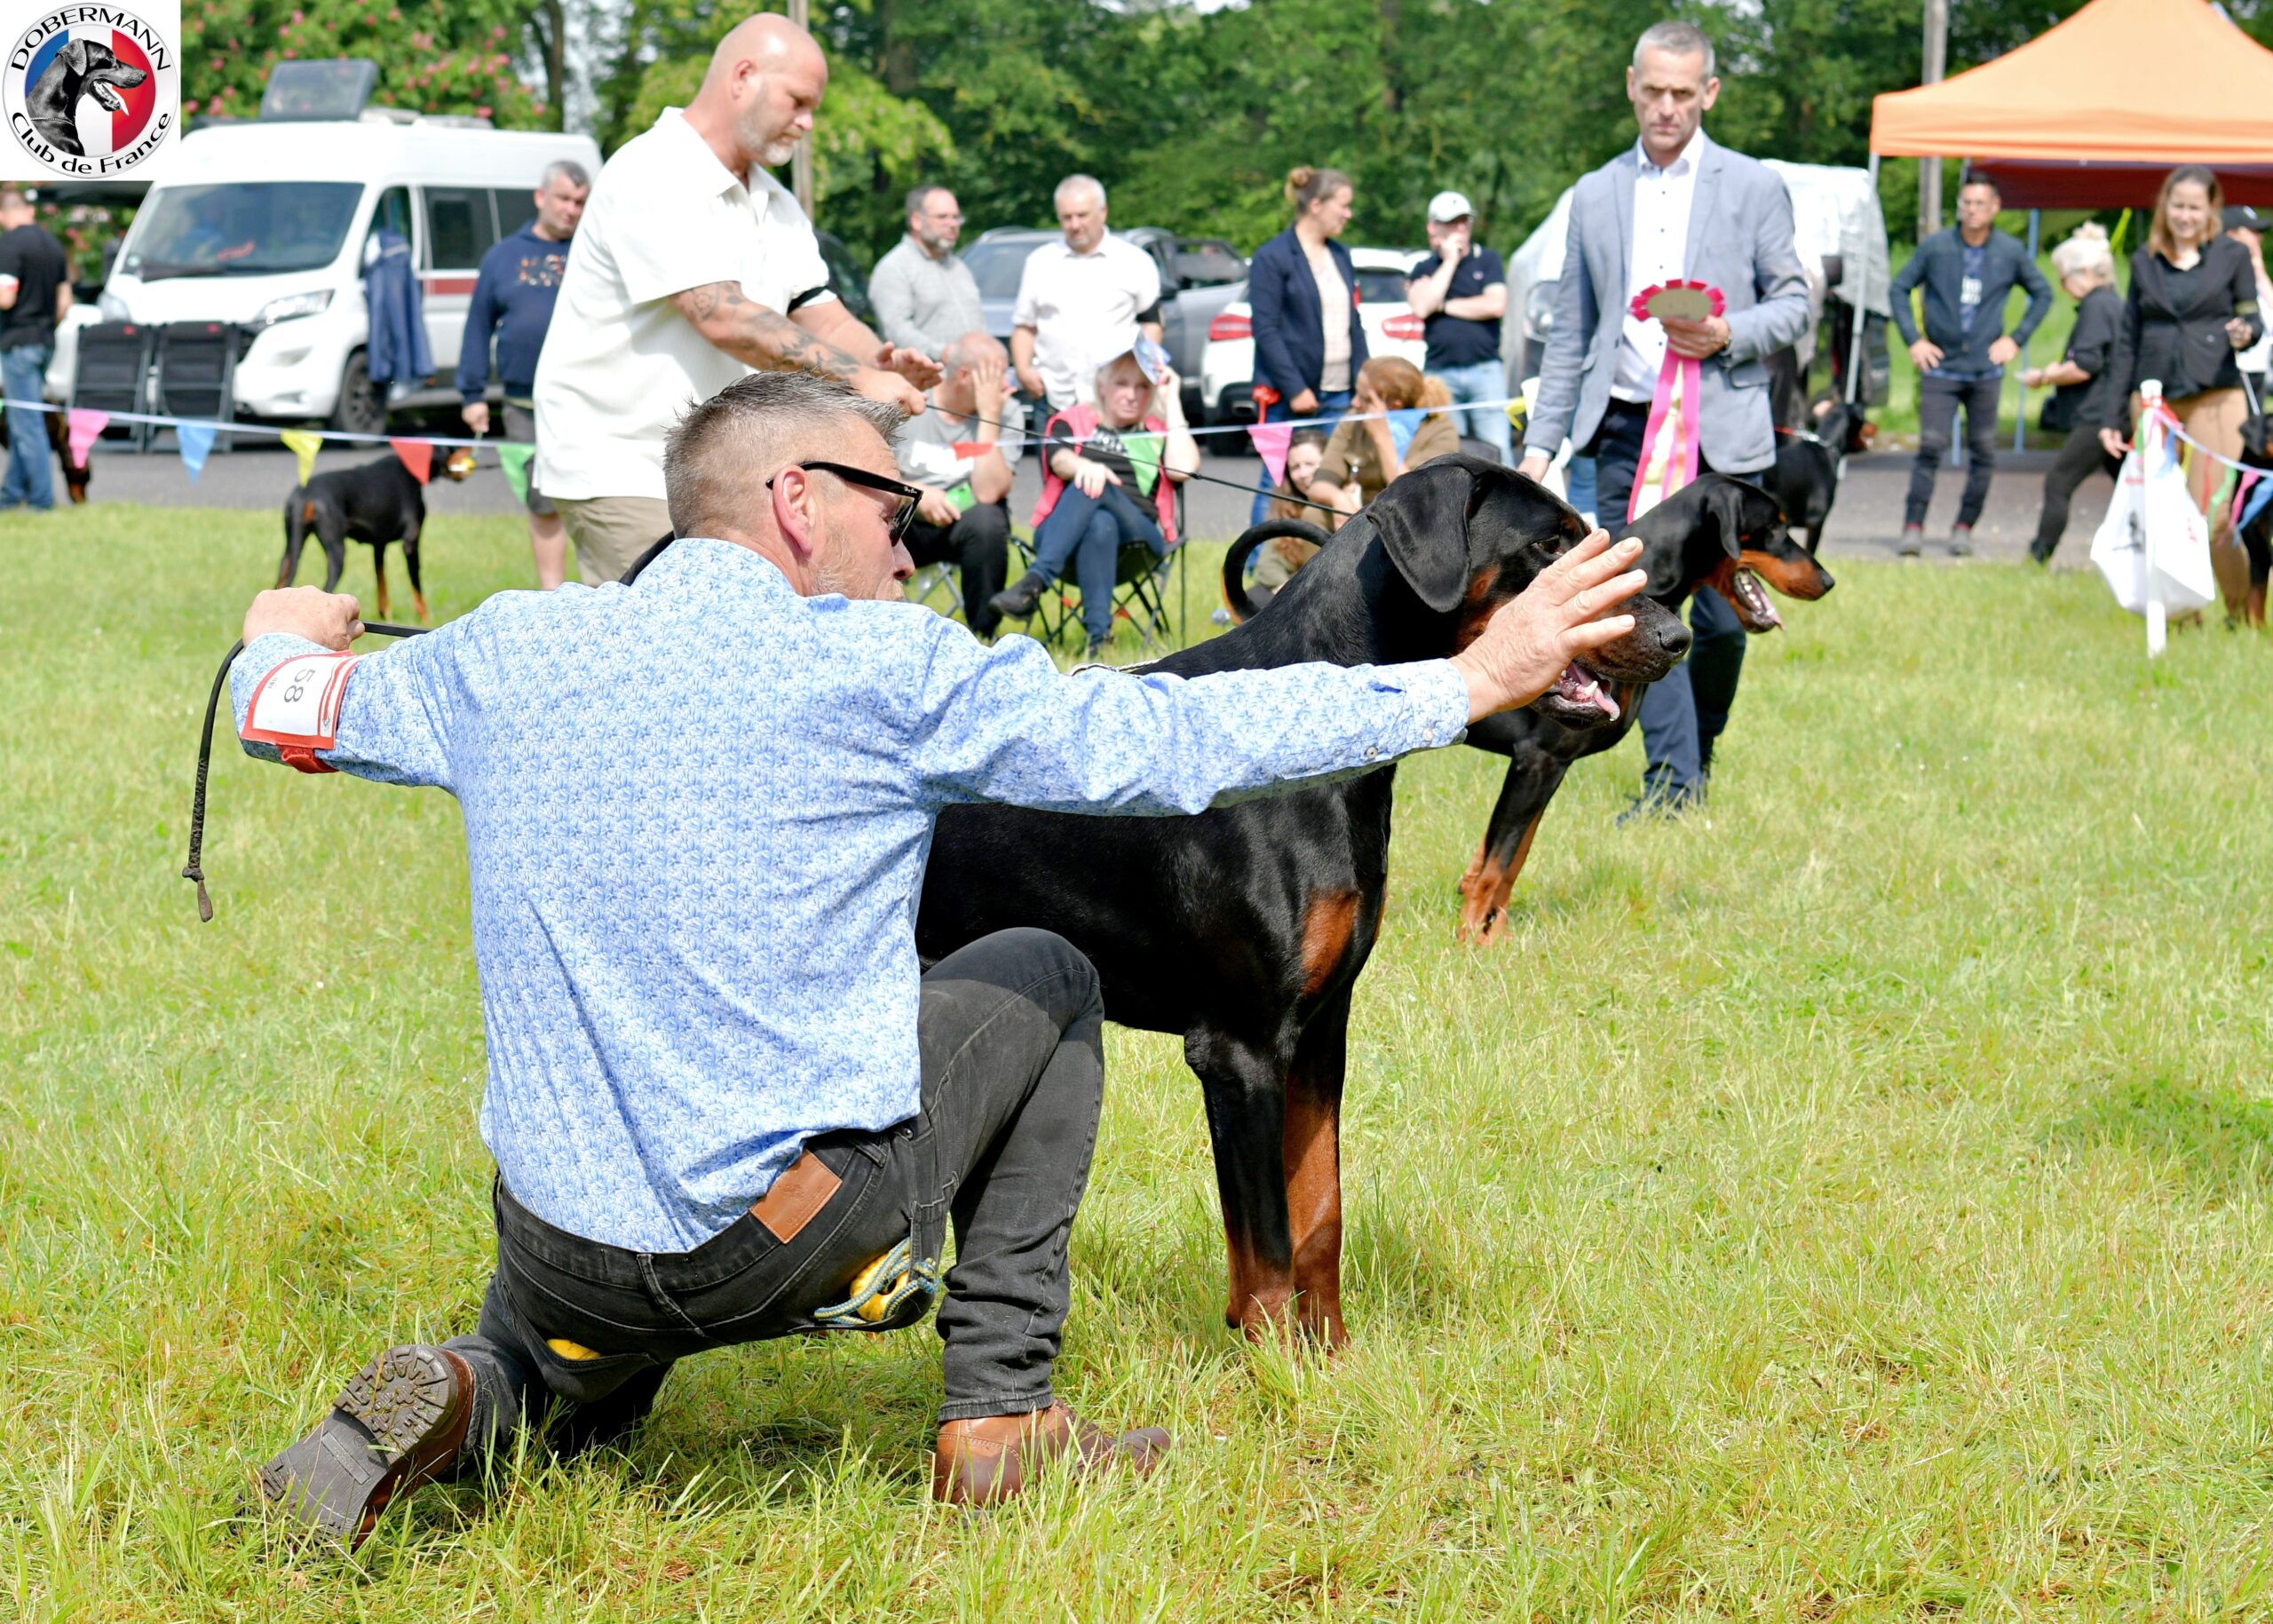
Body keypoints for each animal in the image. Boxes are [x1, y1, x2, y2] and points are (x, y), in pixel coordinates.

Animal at [276, 448, 477, 623]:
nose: (471, 452)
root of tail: (304, 495)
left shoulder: (379, 545)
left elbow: (382, 585)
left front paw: (386, 617)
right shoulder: (411, 543)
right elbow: (417, 589)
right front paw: (427, 622)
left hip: (289, 551)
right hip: (336, 551)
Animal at [915, 457, 1693, 1346]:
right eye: (1549, 545)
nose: (1676, 637)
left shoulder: (1321, 1029)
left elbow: (1321, 1209)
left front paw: (1334, 1355)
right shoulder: (1241, 1047)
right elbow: (1267, 1247)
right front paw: (1274, 1363)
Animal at [1454, 474, 1835, 945]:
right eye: (1776, 528)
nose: (1828, 580)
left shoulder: (1544, 768)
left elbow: (1511, 855)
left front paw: (1496, 932)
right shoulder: (1539, 760)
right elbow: (1501, 861)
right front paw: (1473, 940)